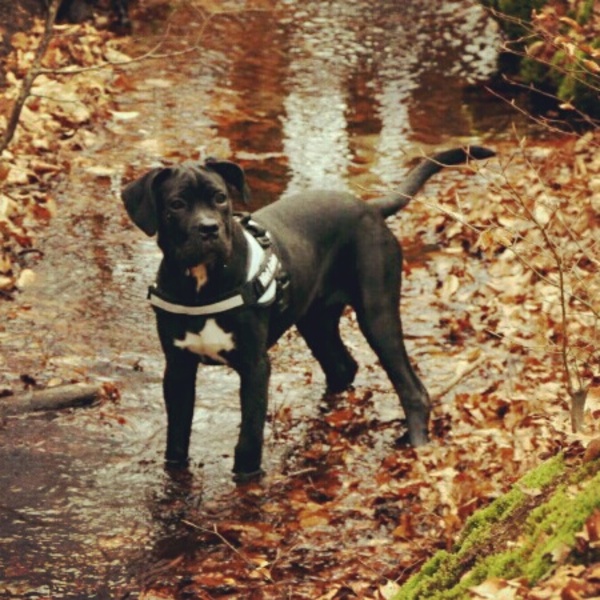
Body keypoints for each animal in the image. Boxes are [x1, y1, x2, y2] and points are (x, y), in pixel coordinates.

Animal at [122, 148, 492, 480]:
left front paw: (247, 477)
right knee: (343, 367)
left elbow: (249, 437)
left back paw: (417, 447)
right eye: (176, 204)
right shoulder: (178, 367)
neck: (201, 285)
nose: (210, 228)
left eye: (220, 198)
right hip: (315, 321)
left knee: (412, 390)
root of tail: (369, 208)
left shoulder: (255, 367)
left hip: (377, 315)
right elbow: (177, 437)